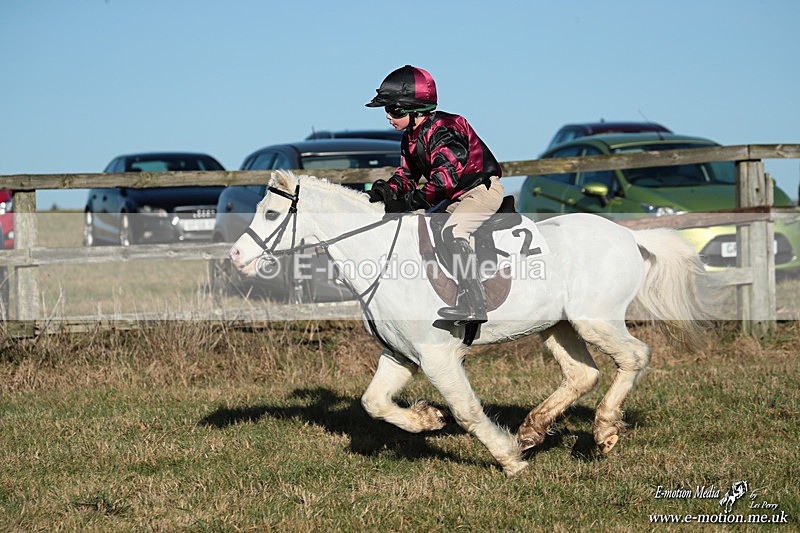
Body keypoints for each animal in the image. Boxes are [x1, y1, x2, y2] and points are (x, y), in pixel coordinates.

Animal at [229, 171, 707, 476]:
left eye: (270, 214)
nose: (236, 256)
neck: (383, 256)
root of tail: (629, 235)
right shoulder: (401, 355)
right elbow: (375, 403)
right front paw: (428, 420)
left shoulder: (439, 357)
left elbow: (467, 411)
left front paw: (509, 460)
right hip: (559, 326)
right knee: (581, 373)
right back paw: (532, 430)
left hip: (597, 320)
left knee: (635, 356)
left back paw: (603, 431)